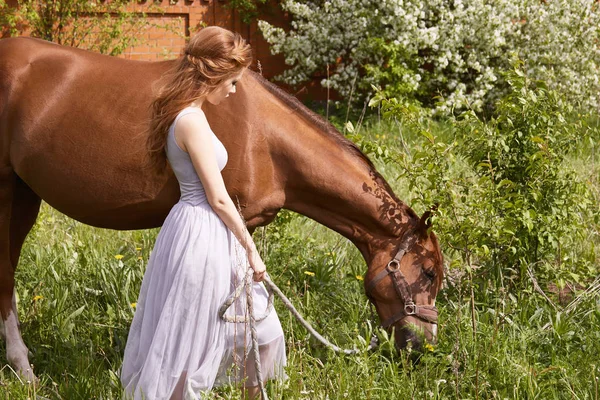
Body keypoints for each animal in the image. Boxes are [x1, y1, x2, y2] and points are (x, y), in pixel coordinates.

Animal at [1, 36, 446, 382]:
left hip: (25, 196)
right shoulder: (234, 218)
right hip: (7, 195)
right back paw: (24, 369)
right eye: (427, 273)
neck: (264, 136)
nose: (422, 349)